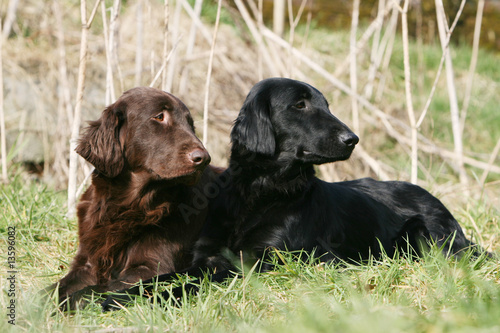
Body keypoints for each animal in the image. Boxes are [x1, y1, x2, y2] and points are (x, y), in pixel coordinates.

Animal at [50, 87, 219, 306]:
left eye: (190, 124)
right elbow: (52, 289)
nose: (204, 159)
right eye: (159, 116)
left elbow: (91, 291)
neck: (127, 205)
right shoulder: (87, 262)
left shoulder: (149, 268)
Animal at [102, 77, 488, 308]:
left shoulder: (266, 258)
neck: (261, 191)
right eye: (300, 105)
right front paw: (112, 295)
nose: (352, 139)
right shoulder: (205, 251)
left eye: (326, 104)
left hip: (423, 236)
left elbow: (196, 278)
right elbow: (171, 275)